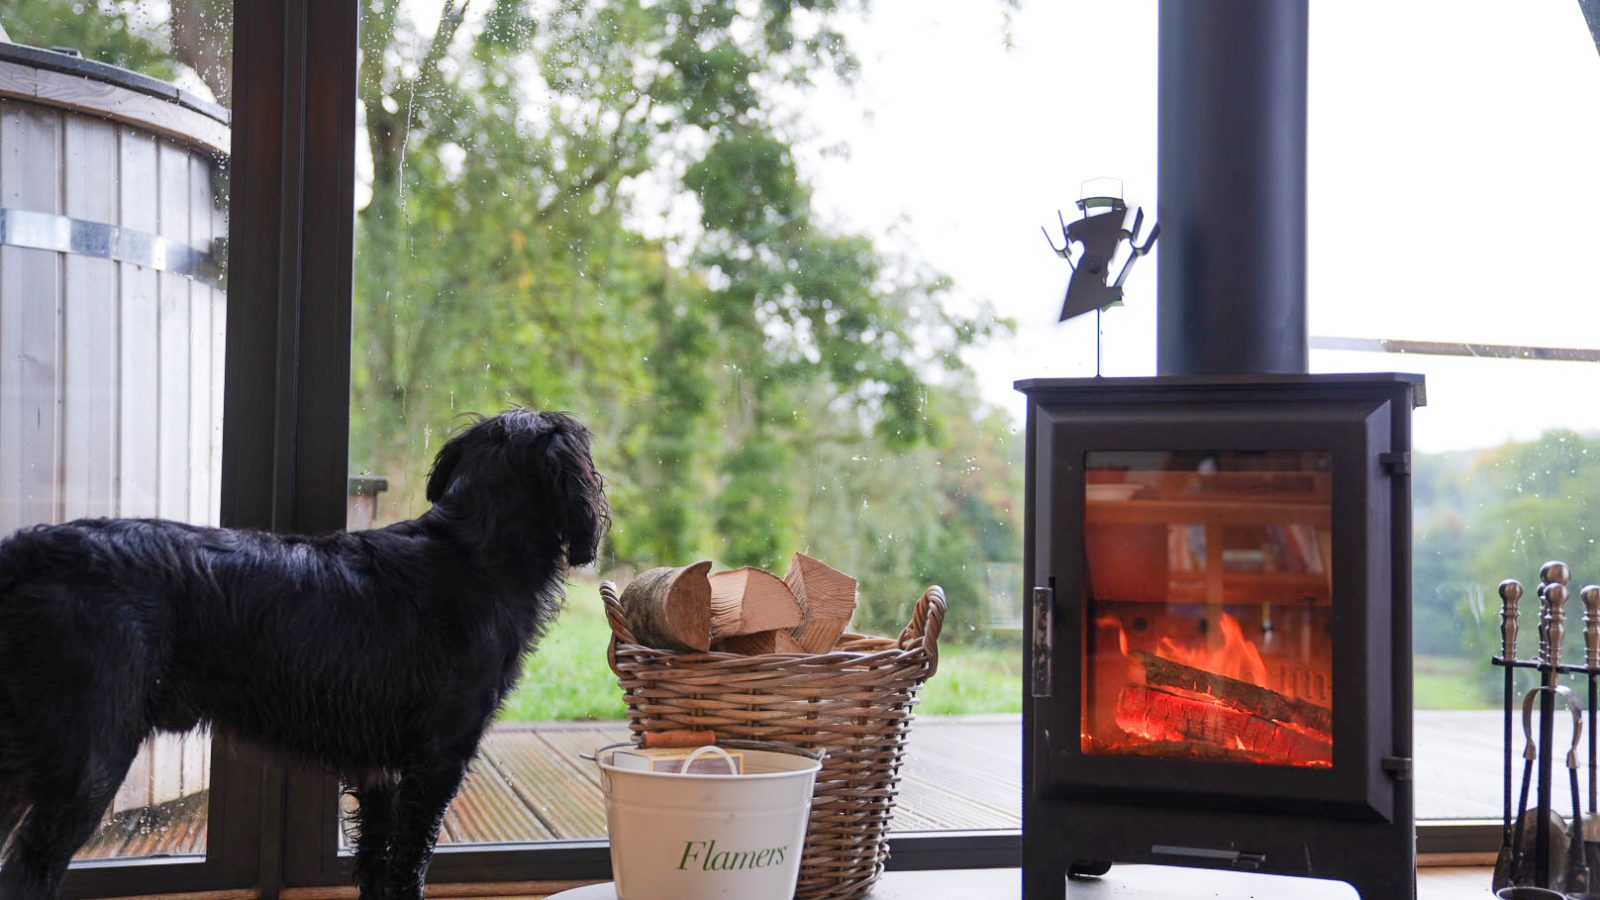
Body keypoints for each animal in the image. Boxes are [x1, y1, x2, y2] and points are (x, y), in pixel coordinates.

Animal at [0, 408, 604, 896]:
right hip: (86, 762)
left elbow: (377, 863)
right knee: (27, 873)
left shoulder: (378, 769)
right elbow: (408, 866)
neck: (469, 551)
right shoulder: (437, 760)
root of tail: (30, 551)